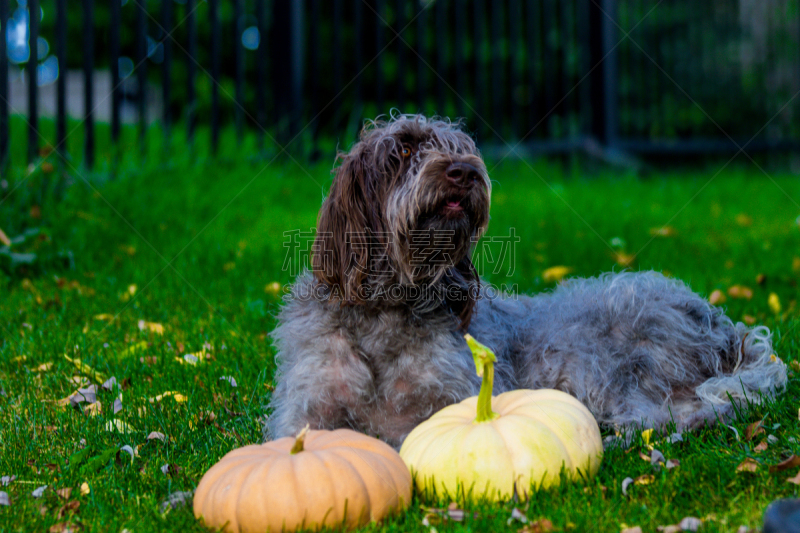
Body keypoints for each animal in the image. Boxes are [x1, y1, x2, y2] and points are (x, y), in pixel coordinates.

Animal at [268, 114, 788, 446]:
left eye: (461, 149)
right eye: (406, 147)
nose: (465, 172)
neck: (386, 308)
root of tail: (723, 326)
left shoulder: (458, 399)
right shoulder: (305, 413)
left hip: (598, 354)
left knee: (679, 413)